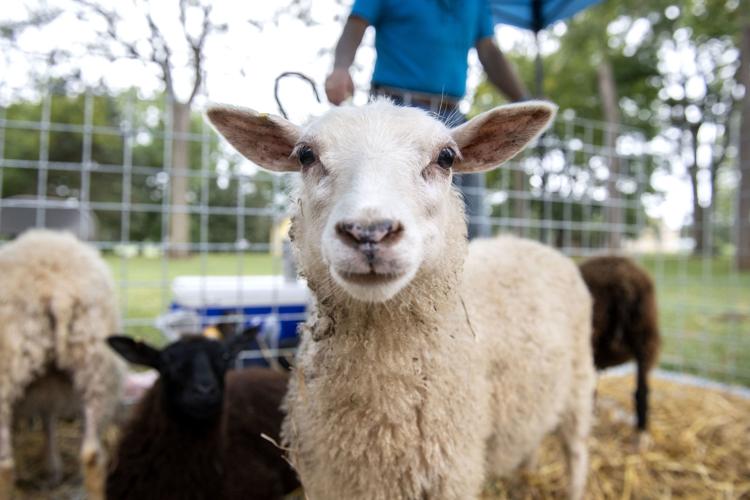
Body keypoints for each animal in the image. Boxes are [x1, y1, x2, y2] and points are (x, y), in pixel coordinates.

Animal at [0, 229, 125, 500]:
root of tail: (57, 289)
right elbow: (48, 419)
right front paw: (52, 470)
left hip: (8, 372)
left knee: (4, 464)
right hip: (97, 366)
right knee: (91, 454)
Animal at [206, 99, 596, 500]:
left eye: (446, 157)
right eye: (305, 155)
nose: (369, 233)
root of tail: (529, 242)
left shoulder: (454, 475)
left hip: (580, 381)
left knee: (576, 449)